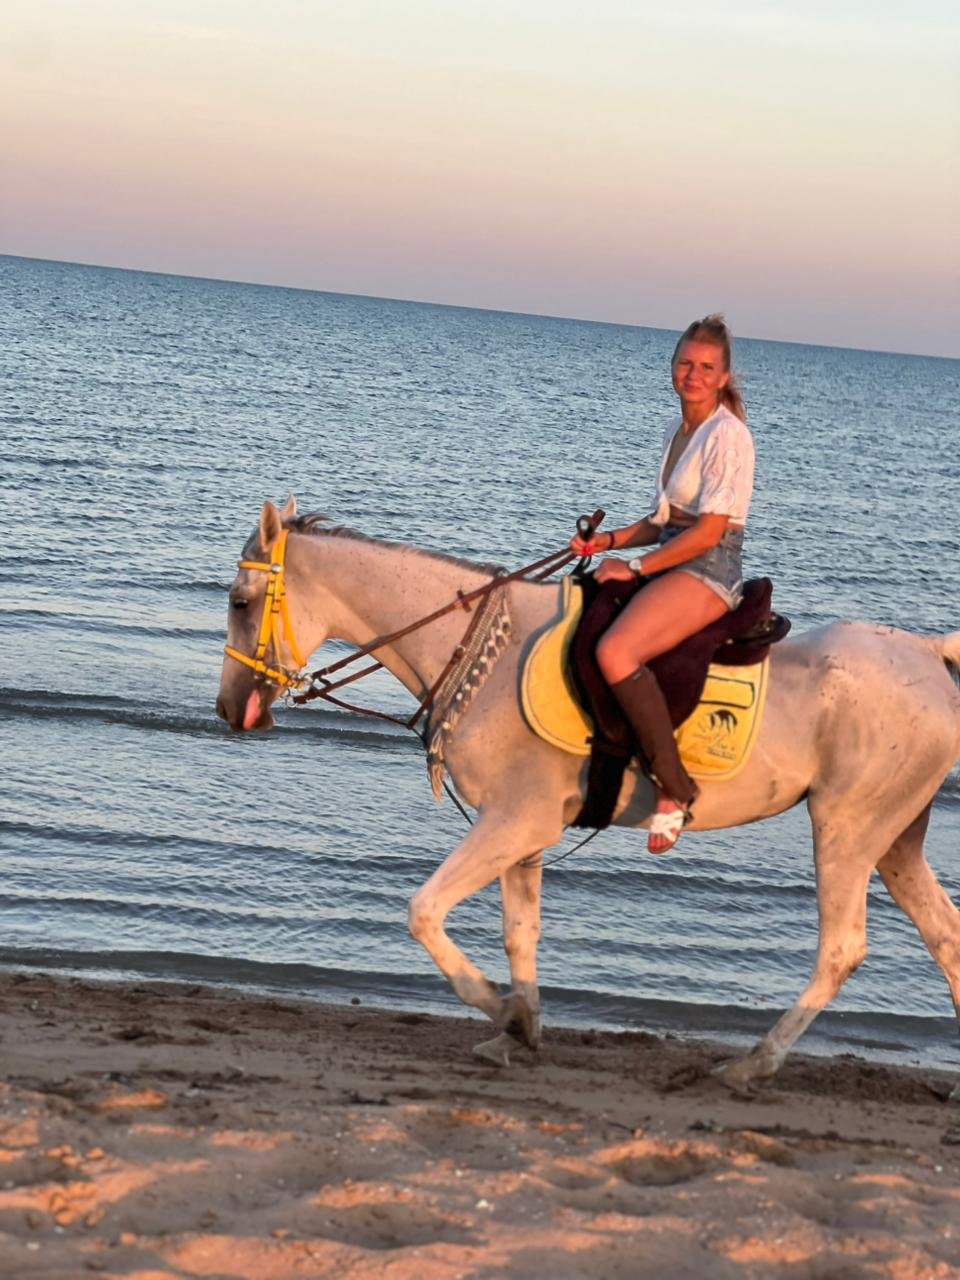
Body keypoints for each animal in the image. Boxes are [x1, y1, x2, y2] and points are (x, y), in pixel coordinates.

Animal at [216, 498, 960, 1093]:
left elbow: (424, 912)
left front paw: (507, 1014)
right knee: (946, 936)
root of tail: (928, 654)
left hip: (847, 829)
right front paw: (518, 1029)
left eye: (240, 602)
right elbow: (520, 935)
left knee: (842, 950)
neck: (487, 652)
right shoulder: (519, 836)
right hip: (896, 840)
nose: (228, 709)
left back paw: (752, 1064)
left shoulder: (515, 824)